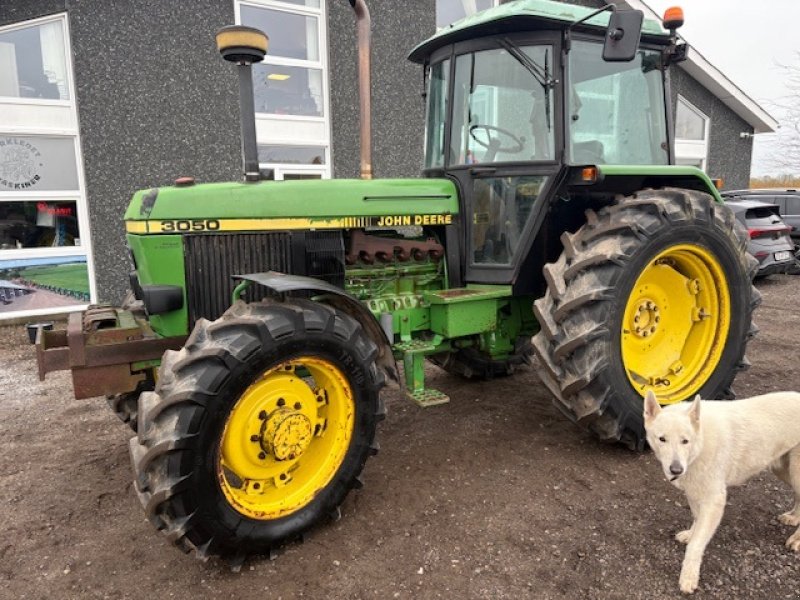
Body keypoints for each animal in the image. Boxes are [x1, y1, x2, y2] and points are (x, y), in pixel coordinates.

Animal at [640, 392, 800, 592]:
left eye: (685, 441)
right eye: (662, 439)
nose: (676, 470)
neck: (699, 443)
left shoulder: (714, 501)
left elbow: (696, 545)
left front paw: (689, 577)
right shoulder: (694, 492)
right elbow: (696, 520)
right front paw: (691, 534)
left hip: (794, 471)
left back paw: (797, 539)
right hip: (782, 469)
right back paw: (794, 518)